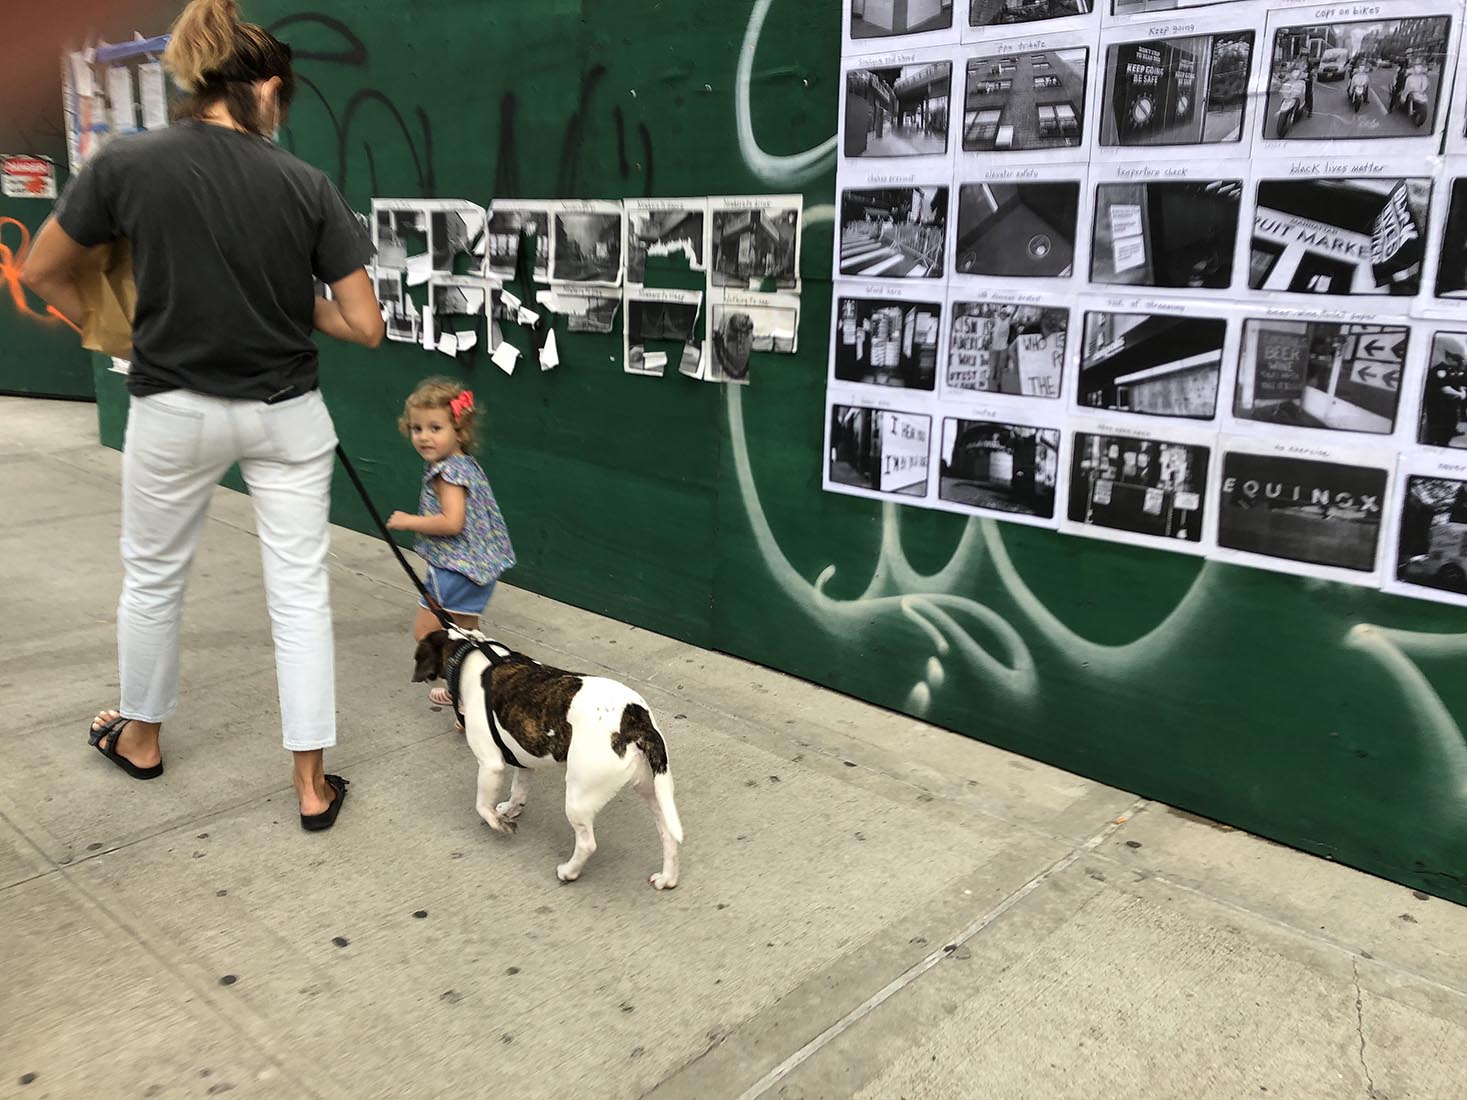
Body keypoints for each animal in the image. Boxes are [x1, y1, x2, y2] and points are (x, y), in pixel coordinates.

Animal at [416, 624, 683, 891]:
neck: (468, 654)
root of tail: (635, 719)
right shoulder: (523, 762)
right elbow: (518, 792)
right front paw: (510, 809)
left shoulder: (490, 765)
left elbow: (482, 805)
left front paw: (498, 822)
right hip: (654, 791)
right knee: (668, 834)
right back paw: (667, 878)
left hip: (578, 798)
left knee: (587, 843)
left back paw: (569, 872)